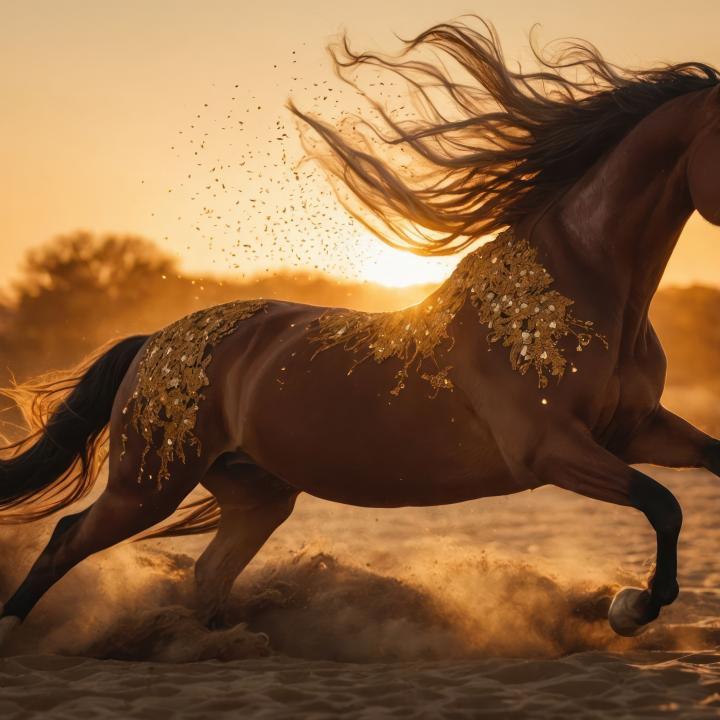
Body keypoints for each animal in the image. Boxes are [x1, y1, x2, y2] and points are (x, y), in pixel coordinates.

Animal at [1, 19, 719, 645]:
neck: (579, 293)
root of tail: (151, 343)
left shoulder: (633, 429)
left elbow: (699, 473)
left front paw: (633, 606)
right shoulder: (553, 449)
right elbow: (662, 503)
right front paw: (630, 609)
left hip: (257, 493)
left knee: (208, 573)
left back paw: (230, 645)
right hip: (148, 484)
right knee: (68, 538)